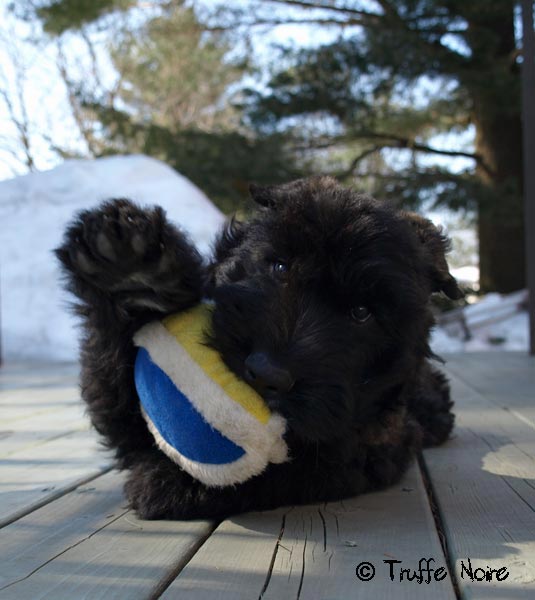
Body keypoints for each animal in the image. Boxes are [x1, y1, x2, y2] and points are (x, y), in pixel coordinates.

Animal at [56, 176, 462, 516]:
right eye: (279, 267)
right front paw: (132, 277)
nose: (267, 373)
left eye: (362, 312)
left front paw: (171, 484)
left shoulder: (369, 446)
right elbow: (114, 390)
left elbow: (285, 470)